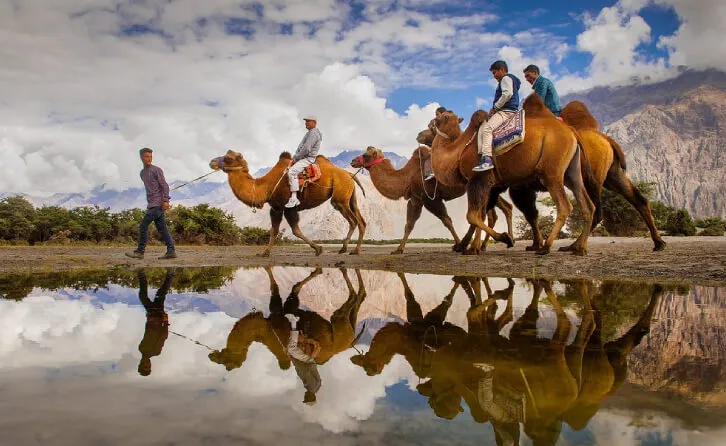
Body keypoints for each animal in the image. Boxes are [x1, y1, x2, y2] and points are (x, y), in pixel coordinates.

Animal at [209, 150, 366, 256]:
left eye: (227, 158)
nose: (212, 162)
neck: (265, 186)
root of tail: (349, 174)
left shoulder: (288, 206)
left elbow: (295, 230)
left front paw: (318, 248)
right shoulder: (276, 207)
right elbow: (274, 231)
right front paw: (264, 253)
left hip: (340, 197)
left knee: (353, 220)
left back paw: (348, 249)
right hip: (350, 197)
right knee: (361, 221)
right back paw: (351, 249)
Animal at [350, 145, 514, 254]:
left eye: (365, 155)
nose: (353, 161)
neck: (407, 177)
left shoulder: (430, 198)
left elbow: (446, 220)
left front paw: (458, 244)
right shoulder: (416, 199)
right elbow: (409, 225)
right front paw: (398, 249)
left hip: (477, 184)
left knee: (483, 213)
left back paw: (480, 245)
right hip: (489, 187)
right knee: (499, 209)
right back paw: (492, 243)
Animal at [429, 94, 599, 255]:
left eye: (443, 117)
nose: (432, 120)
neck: (460, 149)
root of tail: (572, 132)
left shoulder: (477, 179)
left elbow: (472, 215)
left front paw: (505, 239)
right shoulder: (490, 184)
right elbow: (480, 214)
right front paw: (473, 248)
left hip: (552, 171)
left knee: (565, 206)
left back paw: (546, 247)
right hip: (572, 172)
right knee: (588, 205)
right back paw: (579, 248)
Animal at [561, 101, 666, 251]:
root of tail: (606, 139)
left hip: (591, 176)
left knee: (596, 211)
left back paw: (575, 246)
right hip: (613, 174)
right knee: (639, 199)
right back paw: (659, 243)